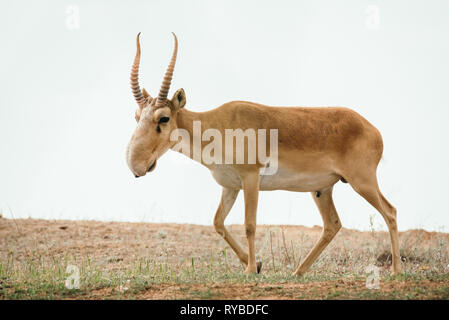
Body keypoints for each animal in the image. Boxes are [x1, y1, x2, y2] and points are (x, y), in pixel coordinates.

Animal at [125, 34, 400, 276]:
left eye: (164, 118)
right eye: (137, 116)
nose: (136, 166)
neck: (218, 124)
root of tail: (373, 130)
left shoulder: (250, 178)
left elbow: (249, 224)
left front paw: (249, 270)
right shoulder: (230, 185)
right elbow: (218, 222)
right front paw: (256, 265)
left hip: (362, 182)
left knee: (390, 212)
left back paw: (396, 271)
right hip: (322, 189)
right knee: (332, 224)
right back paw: (298, 272)